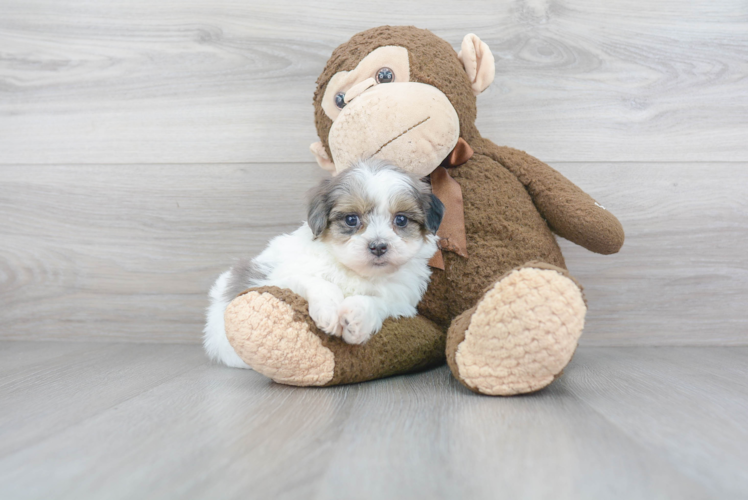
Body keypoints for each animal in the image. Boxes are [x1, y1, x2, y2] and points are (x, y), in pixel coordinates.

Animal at [203, 160, 444, 368]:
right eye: (351, 219)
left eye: (401, 220)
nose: (378, 246)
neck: (355, 271)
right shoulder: (281, 277)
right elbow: (317, 282)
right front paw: (330, 311)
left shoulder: (401, 298)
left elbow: (377, 301)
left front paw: (357, 318)